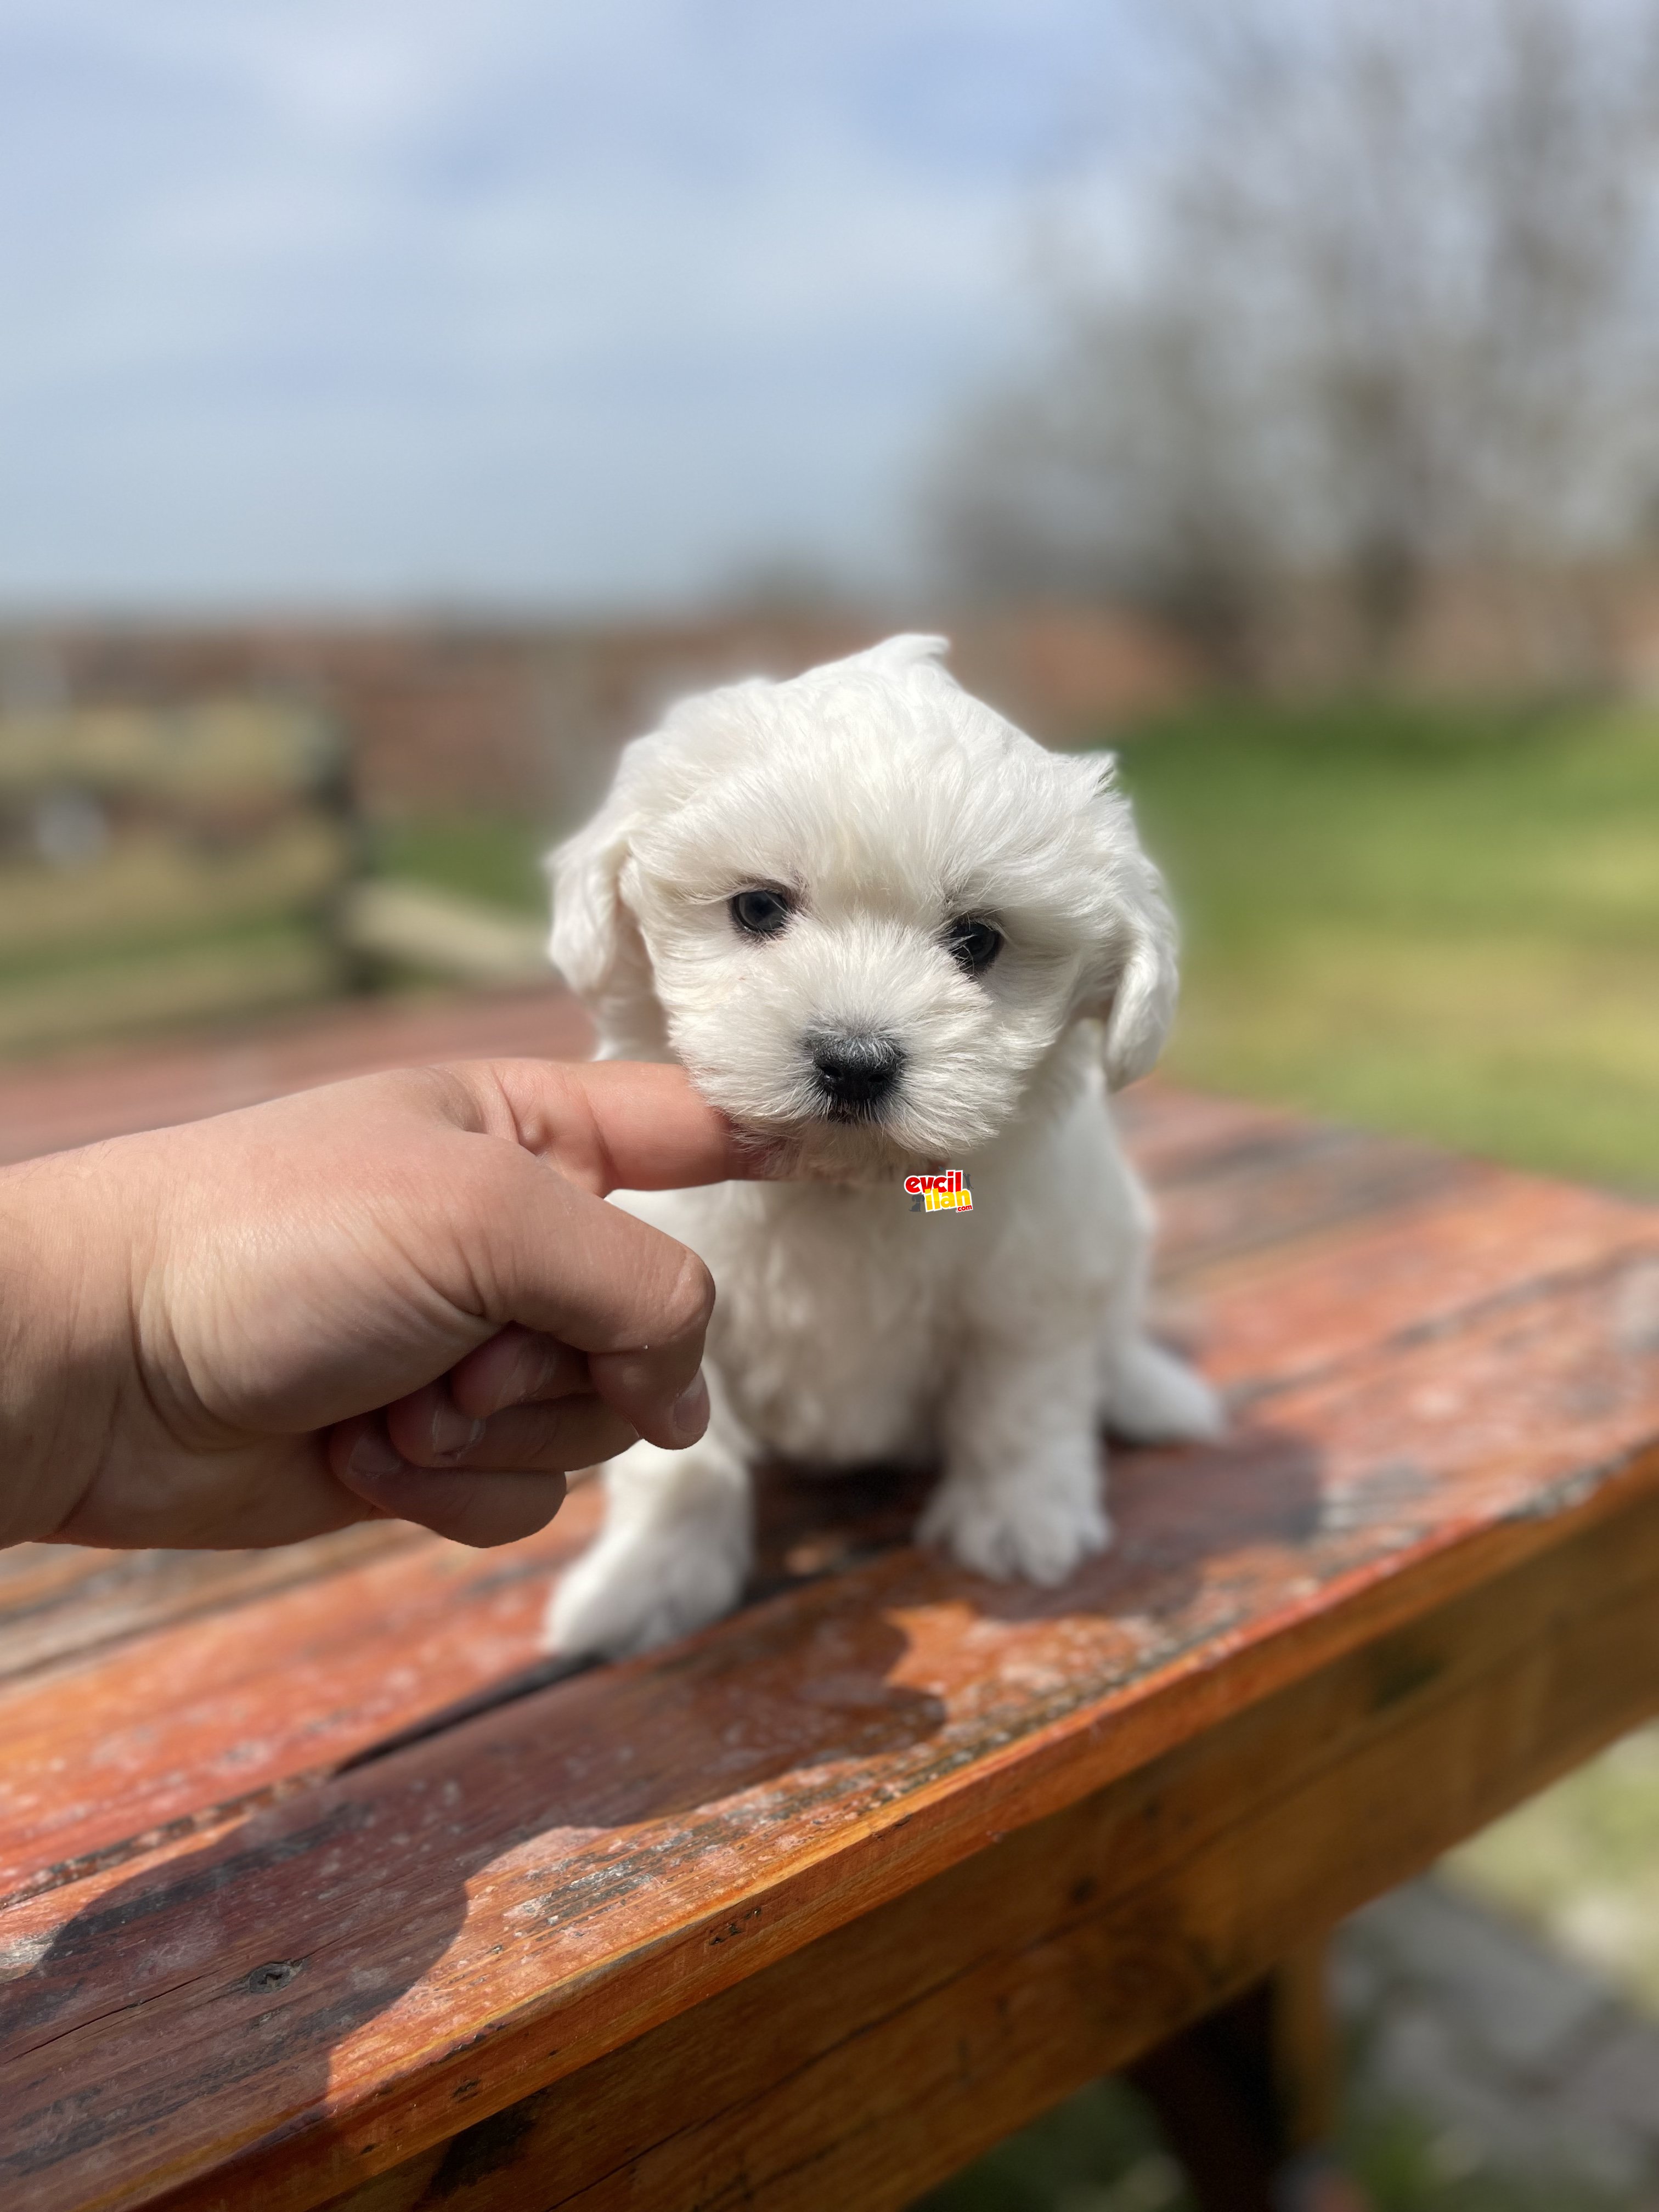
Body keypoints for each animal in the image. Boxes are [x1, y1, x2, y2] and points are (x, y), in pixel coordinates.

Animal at [546, 628, 1221, 1663]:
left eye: (977, 940)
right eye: (756, 909)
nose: (854, 1061)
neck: (845, 1182)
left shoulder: (1031, 1282)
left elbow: (1021, 1403)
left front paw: (1018, 1522)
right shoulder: (669, 1296)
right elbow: (681, 1464)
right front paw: (648, 1580)